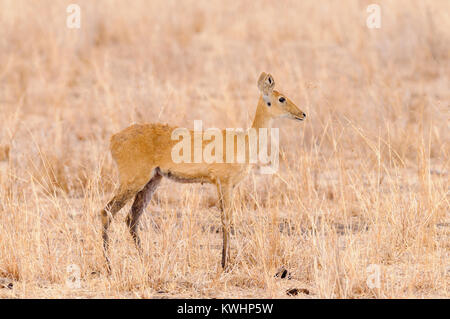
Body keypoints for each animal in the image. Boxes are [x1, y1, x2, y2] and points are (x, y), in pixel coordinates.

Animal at [101, 73, 306, 272]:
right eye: (281, 98)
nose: (302, 114)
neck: (244, 141)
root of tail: (114, 138)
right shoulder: (224, 184)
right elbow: (226, 220)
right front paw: (225, 264)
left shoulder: (227, 186)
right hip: (133, 181)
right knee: (107, 212)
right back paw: (110, 266)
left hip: (152, 182)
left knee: (131, 218)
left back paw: (145, 261)